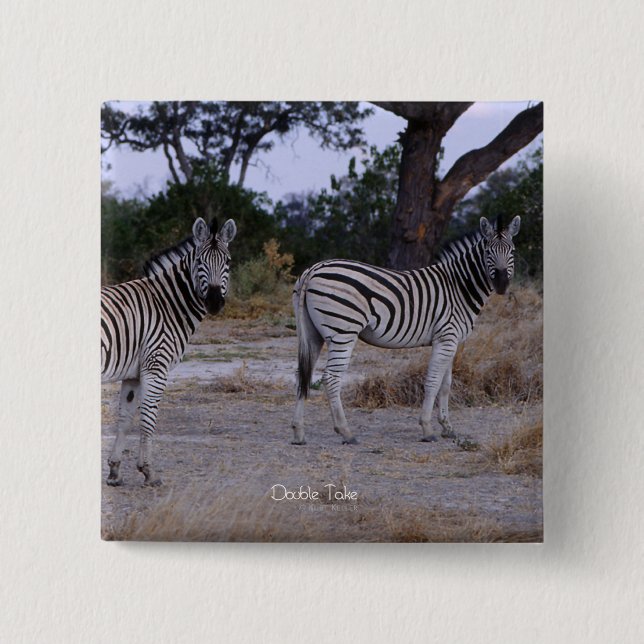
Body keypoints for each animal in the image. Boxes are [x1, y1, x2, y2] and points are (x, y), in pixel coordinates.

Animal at [101, 217, 237, 486]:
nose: (214, 302)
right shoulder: (156, 366)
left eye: (227, 262)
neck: (167, 305)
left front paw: (114, 471)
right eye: (200, 262)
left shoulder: (133, 373)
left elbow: (125, 419)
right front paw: (148, 471)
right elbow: (148, 419)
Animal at [291, 215, 521, 447]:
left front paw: (447, 427)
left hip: (312, 334)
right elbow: (433, 382)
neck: (459, 287)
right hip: (343, 332)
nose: (502, 284)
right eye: (488, 251)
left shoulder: (451, 341)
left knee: (303, 374)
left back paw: (299, 433)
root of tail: (313, 269)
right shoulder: (446, 338)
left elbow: (446, 384)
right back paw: (345, 432)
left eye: (512, 251)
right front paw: (427, 429)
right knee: (331, 378)